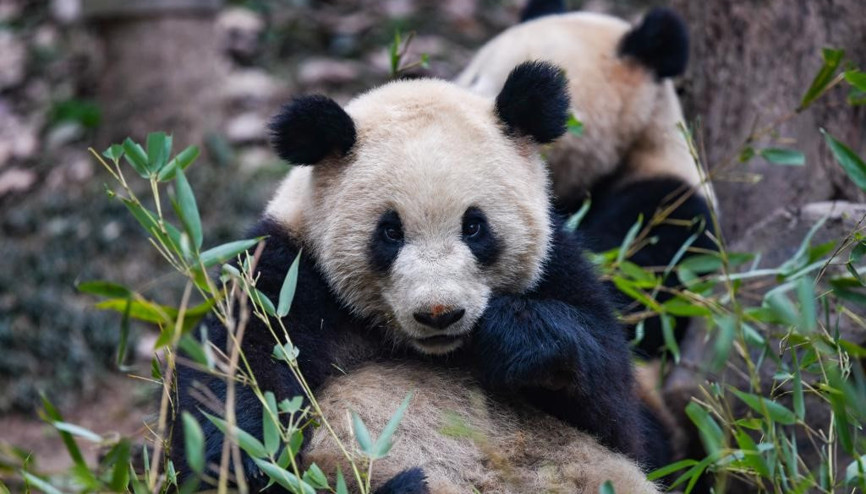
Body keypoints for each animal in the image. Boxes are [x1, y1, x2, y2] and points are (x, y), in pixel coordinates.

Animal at [173, 61, 659, 492]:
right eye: (390, 231)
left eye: (474, 226)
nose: (439, 313)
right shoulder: (286, 273)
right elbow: (239, 374)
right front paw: (248, 457)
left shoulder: (558, 263)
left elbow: (615, 406)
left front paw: (512, 335)